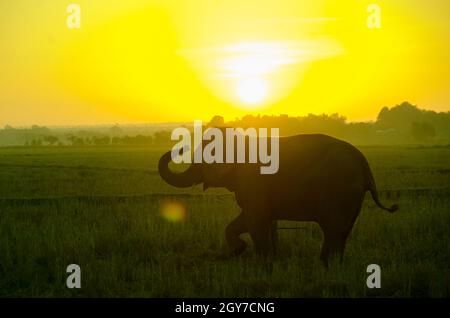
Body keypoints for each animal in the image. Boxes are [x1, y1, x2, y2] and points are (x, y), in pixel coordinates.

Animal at [158, 133, 398, 264]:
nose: (182, 146)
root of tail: (365, 165)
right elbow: (250, 220)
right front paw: (240, 250)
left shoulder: (254, 181)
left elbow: (256, 220)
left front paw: (264, 264)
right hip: (351, 197)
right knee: (342, 231)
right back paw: (329, 264)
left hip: (339, 191)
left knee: (333, 229)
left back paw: (327, 265)